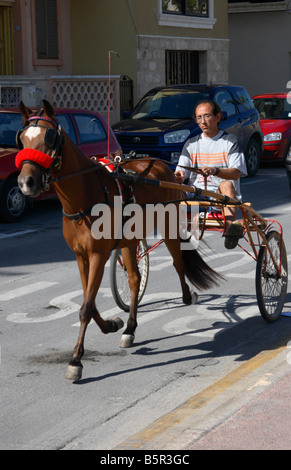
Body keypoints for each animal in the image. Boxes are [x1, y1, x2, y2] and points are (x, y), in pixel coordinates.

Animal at [16, 101, 221, 380]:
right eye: (22, 138)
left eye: (49, 138)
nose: (26, 182)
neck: (86, 198)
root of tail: (159, 165)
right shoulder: (81, 256)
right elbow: (89, 302)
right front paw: (111, 325)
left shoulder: (98, 255)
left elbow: (85, 307)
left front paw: (76, 360)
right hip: (129, 241)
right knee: (134, 279)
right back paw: (130, 328)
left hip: (167, 226)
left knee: (178, 263)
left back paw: (187, 296)